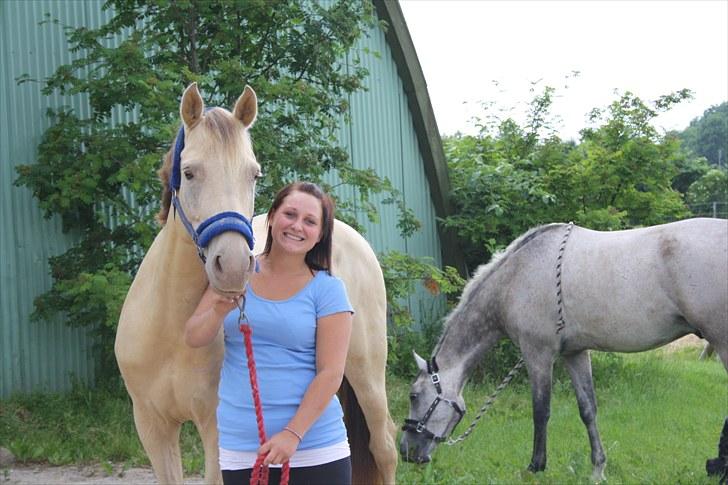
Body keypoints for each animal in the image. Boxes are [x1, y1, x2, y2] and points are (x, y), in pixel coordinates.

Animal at [115, 83, 398, 484]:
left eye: (254, 175)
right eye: (189, 172)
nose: (233, 266)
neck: (171, 330)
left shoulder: (216, 429)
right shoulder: (152, 427)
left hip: (367, 373)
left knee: (384, 447)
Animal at [400, 218, 724, 480]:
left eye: (414, 396)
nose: (407, 452)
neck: (516, 277)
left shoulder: (538, 354)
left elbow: (540, 411)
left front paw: (535, 467)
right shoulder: (574, 353)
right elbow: (588, 409)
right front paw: (598, 469)